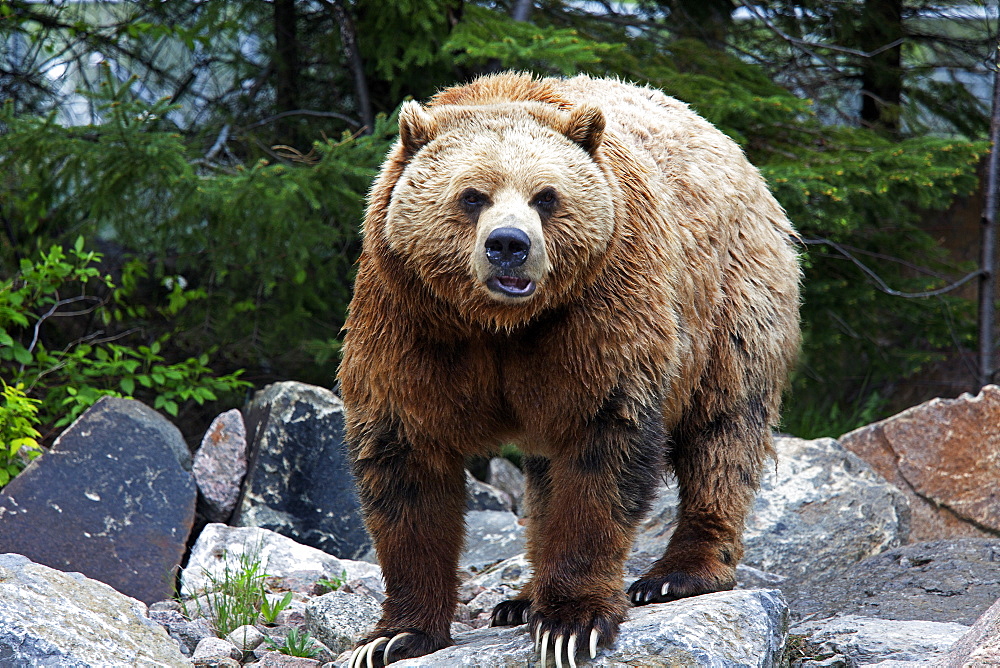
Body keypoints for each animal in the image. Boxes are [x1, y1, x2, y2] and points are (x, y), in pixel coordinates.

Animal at [340, 73, 800, 668]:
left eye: (546, 196)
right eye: (472, 196)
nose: (508, 245)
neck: (501, 324)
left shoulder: (599, 309)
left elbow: (601, 447)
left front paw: (570, 622)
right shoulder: (410, 319)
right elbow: (406, 465)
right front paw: (394, 636)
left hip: (730, 303)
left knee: (723, 434)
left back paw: (678, 573)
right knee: (543, 475)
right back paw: (519, 599)